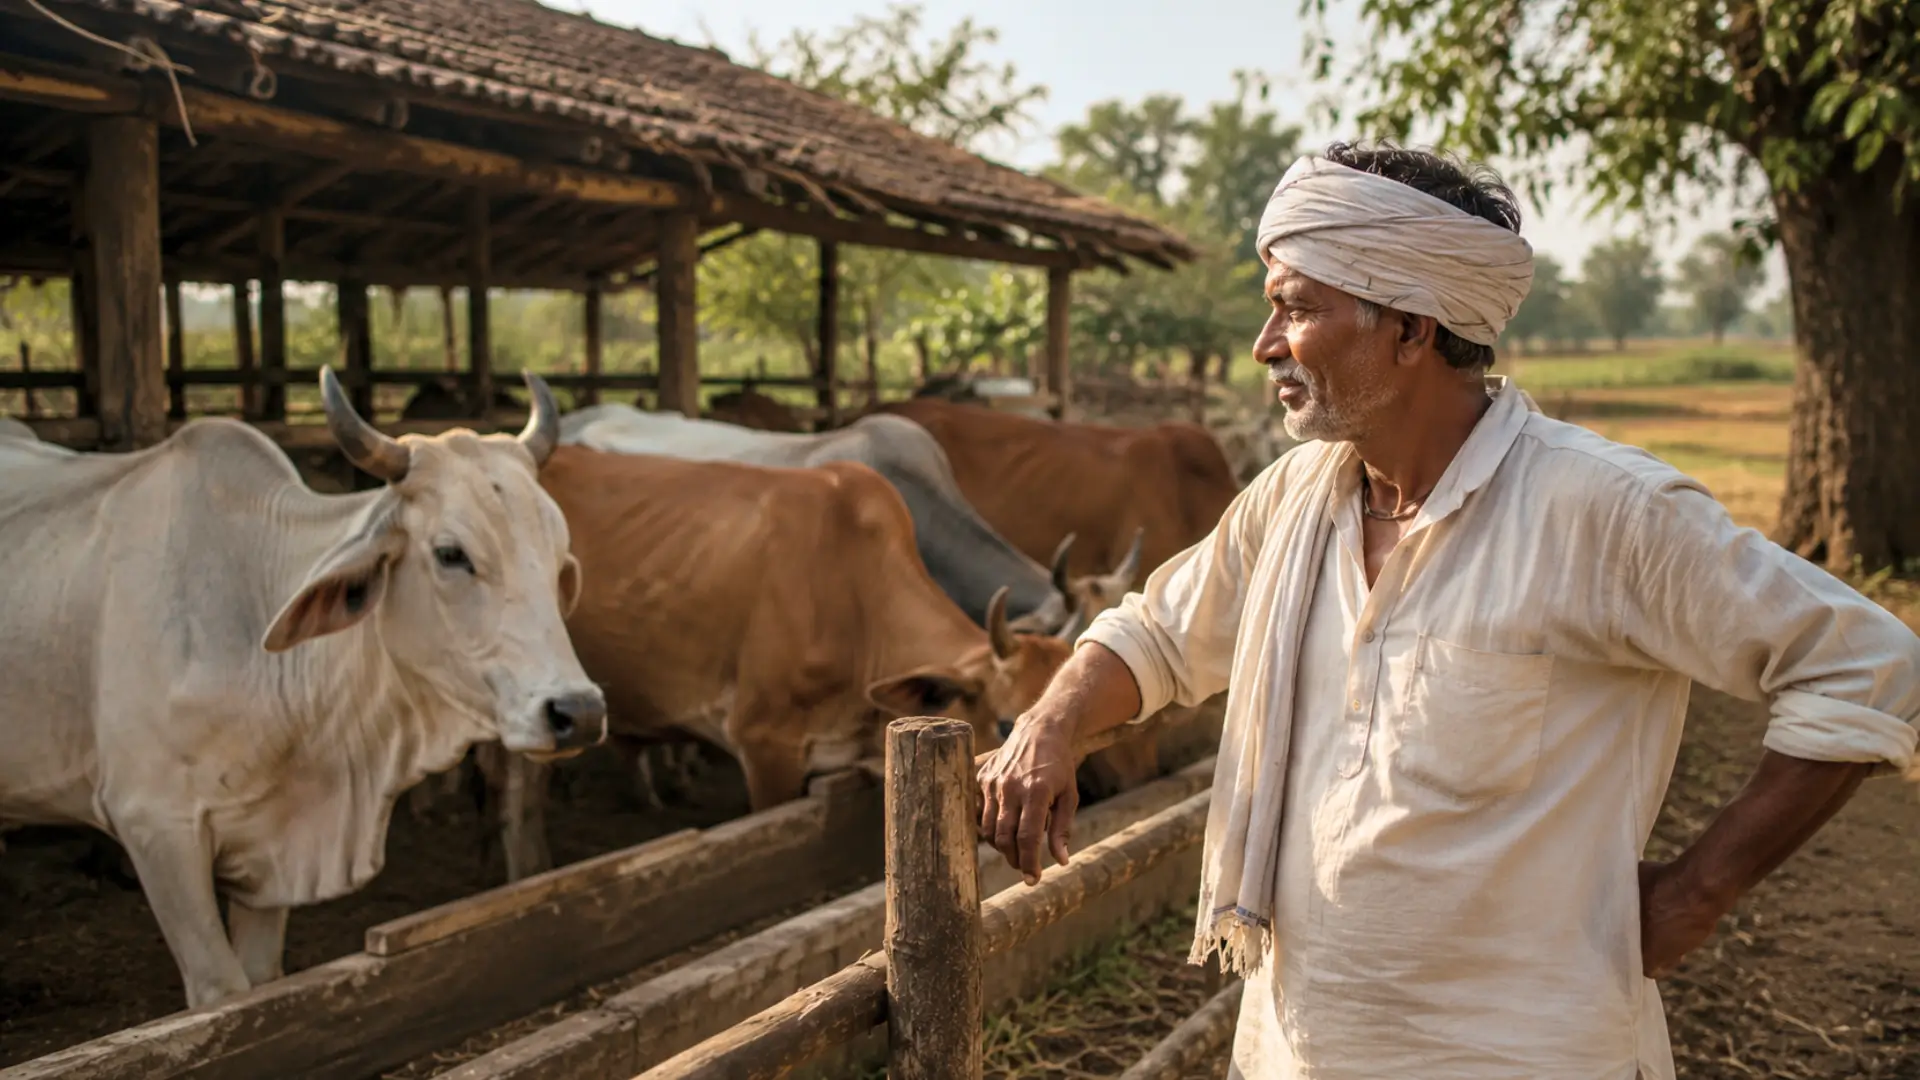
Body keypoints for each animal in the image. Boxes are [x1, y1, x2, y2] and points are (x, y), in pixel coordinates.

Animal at [0, 368, 605, 1009]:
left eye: (557, 557)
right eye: (451, 554)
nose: (579, 711)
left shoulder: (273, 852)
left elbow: (263, 983)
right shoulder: (155, 826)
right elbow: (222, 994)